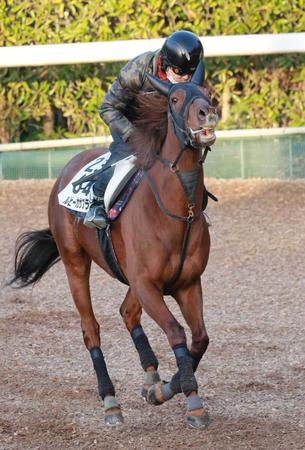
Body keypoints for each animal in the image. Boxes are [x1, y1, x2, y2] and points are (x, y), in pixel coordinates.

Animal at [9, 66, 217, 428]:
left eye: (206, 91)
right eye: (175, 99)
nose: (207, 113)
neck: (177, 210)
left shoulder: (187, 283)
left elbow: (199, 338)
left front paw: (161, 389)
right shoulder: (147, 284)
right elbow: (176, 332)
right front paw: (191, 401)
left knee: (127, 312)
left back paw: (151, 376)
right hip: (75, 262)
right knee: (91, 329)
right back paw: (110, 401)